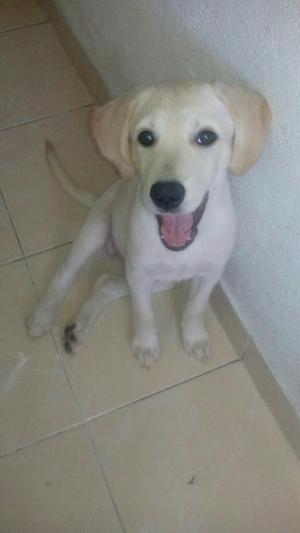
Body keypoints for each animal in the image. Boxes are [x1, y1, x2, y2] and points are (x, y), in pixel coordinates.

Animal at [27, 82, 272, 366]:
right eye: (145, 138)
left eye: (206, 137)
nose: (166, 195)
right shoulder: (140, 273)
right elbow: (143, 313)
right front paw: (146, 344)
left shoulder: (209, 272)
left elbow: (194, 307)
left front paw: (195, 337)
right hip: (95, 231)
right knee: (66, 272)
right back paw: (43, 314)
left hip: (161, 279)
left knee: (105, 282)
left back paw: (77, 330)